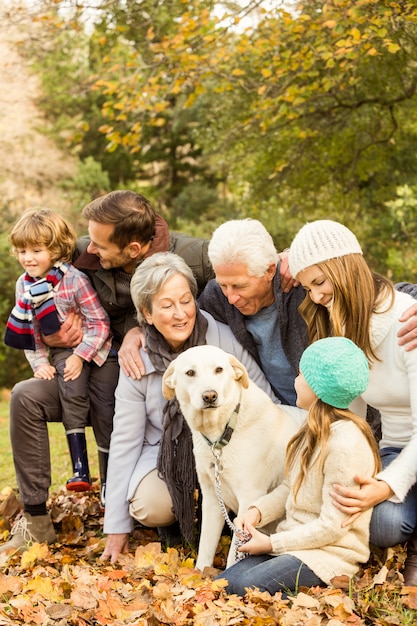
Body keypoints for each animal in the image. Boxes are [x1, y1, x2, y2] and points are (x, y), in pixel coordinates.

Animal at [161, 344, 304, 568]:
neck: (224, 431)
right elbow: (205, 548)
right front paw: (201, 574)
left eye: (219, 370)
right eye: (190, 373)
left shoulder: (249, 498)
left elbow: (234, 553)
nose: (210, 396)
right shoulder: (211, 499)